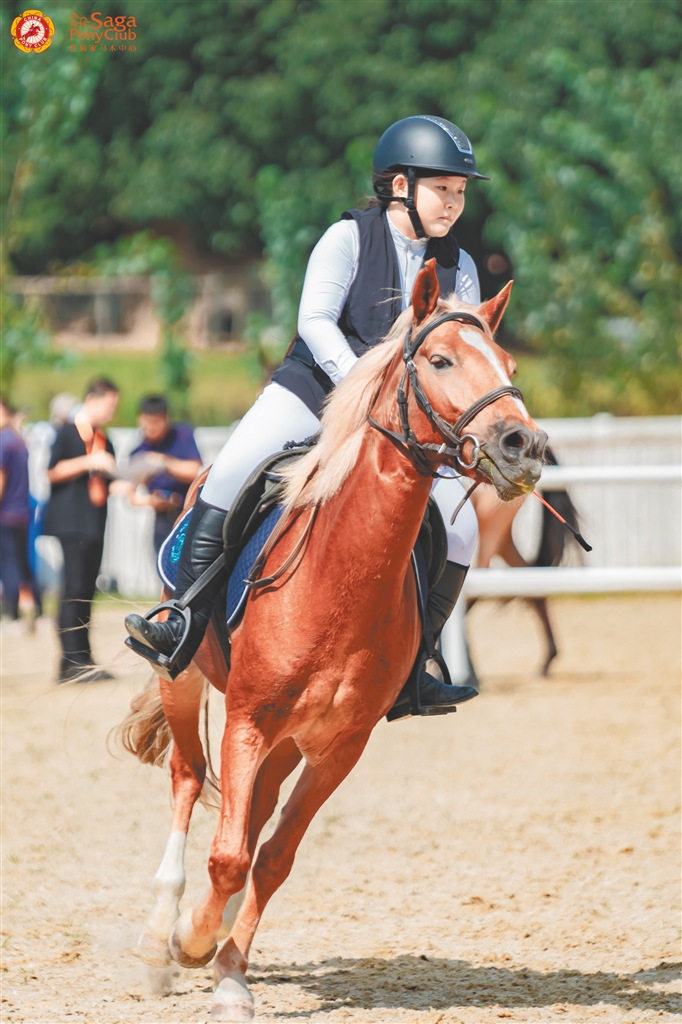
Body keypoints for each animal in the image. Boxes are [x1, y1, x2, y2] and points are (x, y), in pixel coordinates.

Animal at [116, 260, 547, 1021]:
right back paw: (160, 936)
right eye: (439, 360)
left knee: (251, 813)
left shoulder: (341, 745)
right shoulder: (248, 718)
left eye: (510, 366)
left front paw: (228, 969)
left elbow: (271, 856)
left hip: (291, 737)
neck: (341, 579)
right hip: (187, 680)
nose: (521, 447)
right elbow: (228, 853)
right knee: (189, 778)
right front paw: (192, 944)